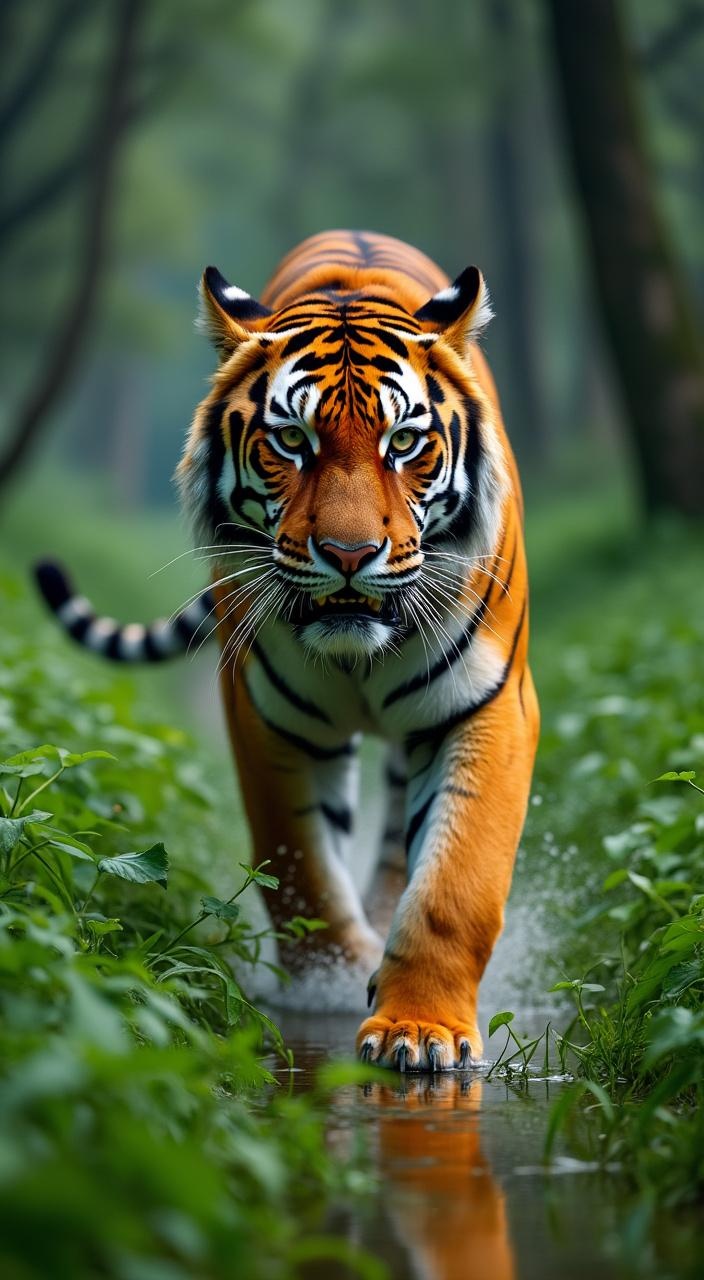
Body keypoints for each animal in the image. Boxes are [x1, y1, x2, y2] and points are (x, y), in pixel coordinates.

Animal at [36, 230, 539, 1072]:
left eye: (405, 442)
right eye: (292, 441)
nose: (349, 554)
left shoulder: (488, 706)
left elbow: (455, 884)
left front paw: (419, 1028)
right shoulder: (267, 717)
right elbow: (299, 865)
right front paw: (331, 985)